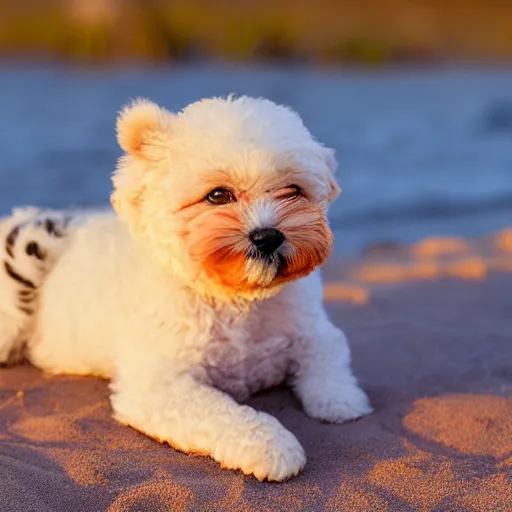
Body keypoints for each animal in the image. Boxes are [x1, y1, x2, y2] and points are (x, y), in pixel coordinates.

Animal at [0, 95, 370, 480]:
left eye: (293, 191)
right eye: (217, 195)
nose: (268, 237)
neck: (236, 297)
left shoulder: (311, 327)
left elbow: (328, 354)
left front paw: (340, 400)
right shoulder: (161, 386)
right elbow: (222, 413)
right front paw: (272, 446)